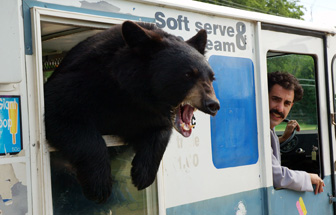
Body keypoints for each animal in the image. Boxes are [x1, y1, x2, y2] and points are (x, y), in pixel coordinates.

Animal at [44, 20, 220, 203]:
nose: (212, 104)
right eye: (188, 74)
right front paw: (99, 184)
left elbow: (160, 131)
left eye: (211, 77)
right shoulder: (84, 81)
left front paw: (142, 174)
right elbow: (61, 113)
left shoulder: (146, 113)